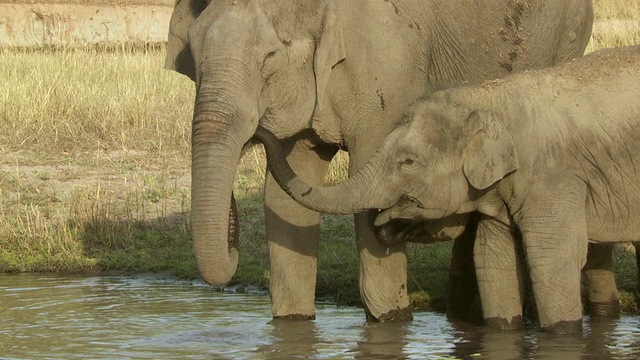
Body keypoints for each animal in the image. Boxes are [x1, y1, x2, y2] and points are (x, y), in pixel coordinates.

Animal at [166, 0, 596, 320]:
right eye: (194, 59)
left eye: (269, 56)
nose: (258, 134)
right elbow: (286, 192)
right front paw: (293, 323)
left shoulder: (386, 60)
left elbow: (367, 177)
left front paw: (390, 319)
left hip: (568, 36)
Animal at [255, 45, 640, 334]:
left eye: (407, 162)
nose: (260, 129)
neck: (489, 96)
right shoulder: (503, 192)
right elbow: (493, 259)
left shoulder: (552, 177)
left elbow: (553, 260)